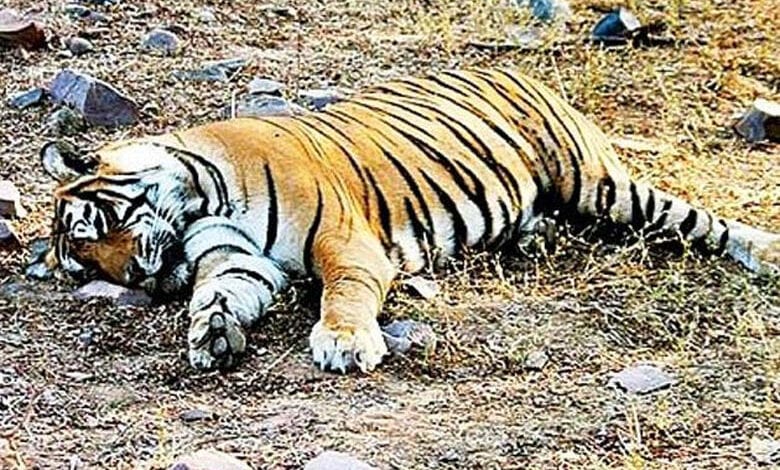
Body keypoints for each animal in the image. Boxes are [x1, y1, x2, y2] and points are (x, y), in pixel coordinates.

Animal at [42, 68, 780, 373]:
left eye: (94, 227)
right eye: (88, 263)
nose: (140, 279)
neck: (201, 197)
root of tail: (517, 70)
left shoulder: (346, 241)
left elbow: (343, 295)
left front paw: (344, 342)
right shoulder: (239, 262)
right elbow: (219, 294)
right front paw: (212, 333)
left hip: (600, 184)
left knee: (696, 218)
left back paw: (765, 250)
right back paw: (536, 236)